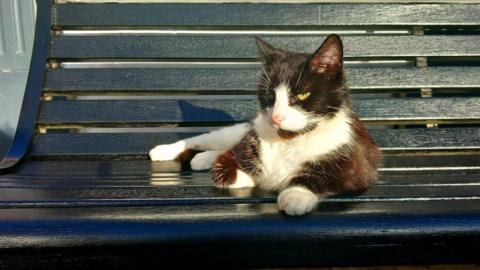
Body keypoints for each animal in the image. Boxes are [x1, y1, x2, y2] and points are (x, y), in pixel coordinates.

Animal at [148, 34, 380, 215]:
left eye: (301, 95)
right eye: (270, 94)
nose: (276, 117)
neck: (288, 138)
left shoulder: (355, 161)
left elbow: (328, 176)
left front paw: (295, 194)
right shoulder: (250, 141)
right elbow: (225, 169)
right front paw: (249, 176)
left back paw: (202, 158)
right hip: (243, 129)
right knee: (210, 139)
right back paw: (166, 151)